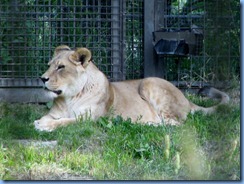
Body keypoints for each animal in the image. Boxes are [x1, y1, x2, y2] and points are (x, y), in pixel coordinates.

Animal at [33, 45, 229, 131]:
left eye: (61, 67)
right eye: (49, 65)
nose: (42, 78)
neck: (69, 97)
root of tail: (187, 100)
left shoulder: (90, 119)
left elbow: (66, 122)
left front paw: (44, 125)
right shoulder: (55, 113)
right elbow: (52, 117)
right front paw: (40, 121)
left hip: (149, 83)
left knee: (175, 124)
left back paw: (143, 123)